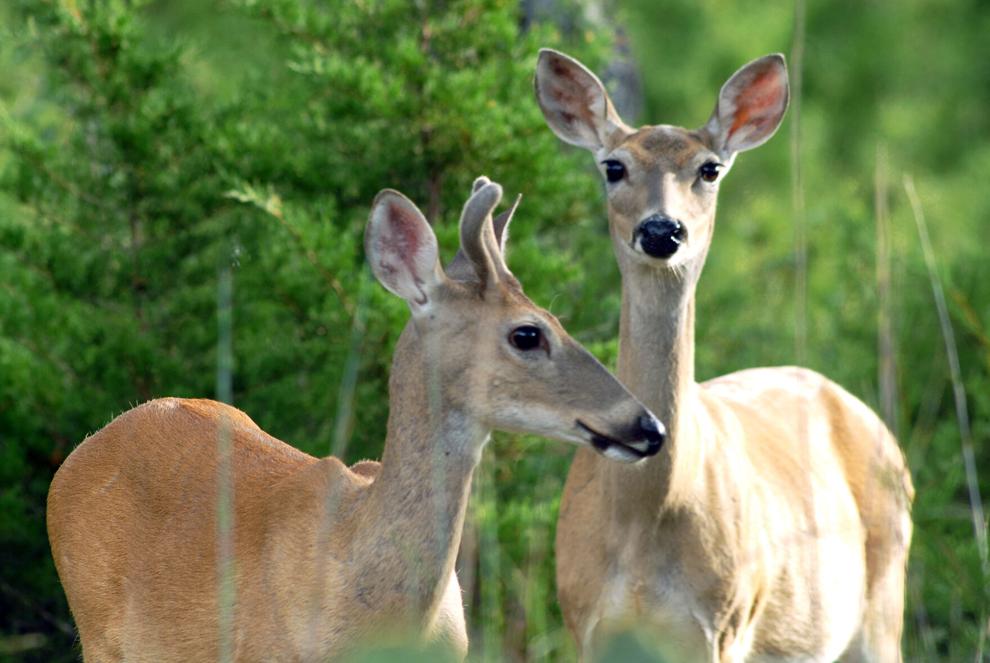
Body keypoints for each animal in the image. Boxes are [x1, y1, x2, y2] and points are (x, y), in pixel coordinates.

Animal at [534, 50, 914, 662]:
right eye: (613, 166)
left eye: (709, 169)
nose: (662, 230)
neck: (643, 518)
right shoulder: (582, 621)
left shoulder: (725, 625)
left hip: (883, 599)